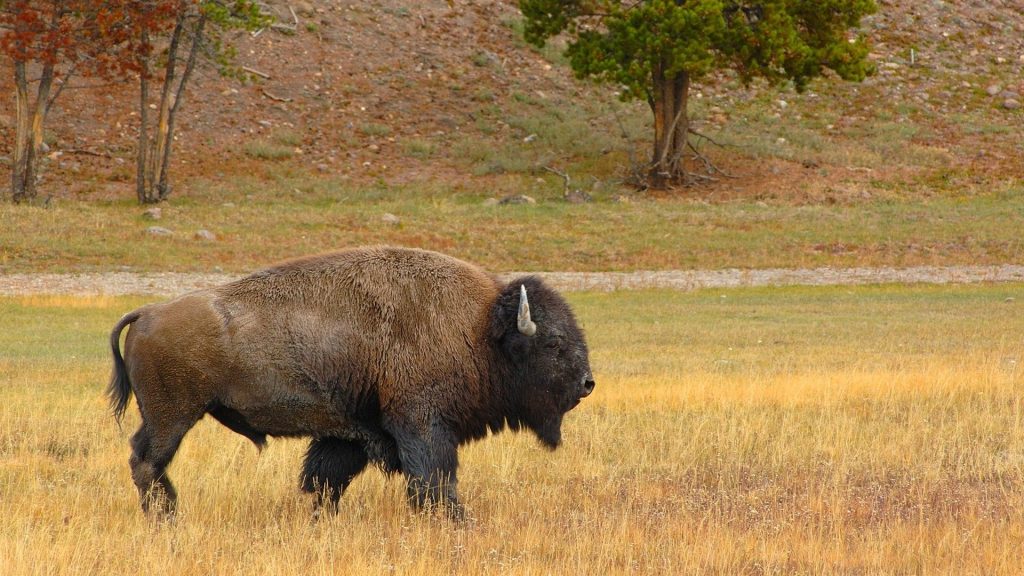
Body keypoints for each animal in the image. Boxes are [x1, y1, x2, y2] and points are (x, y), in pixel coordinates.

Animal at [105, 243, 593, 518]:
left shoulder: (351, 434)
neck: (479, 327)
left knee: (143, 461)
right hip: (174, 417)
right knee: (147, 462)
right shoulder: (422, 425)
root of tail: (147, 311)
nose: (588, 384)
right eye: (553, 344)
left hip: (166, 417)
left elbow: (326, 480)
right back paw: (167, 516)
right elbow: (434, 481)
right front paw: (458, 521)